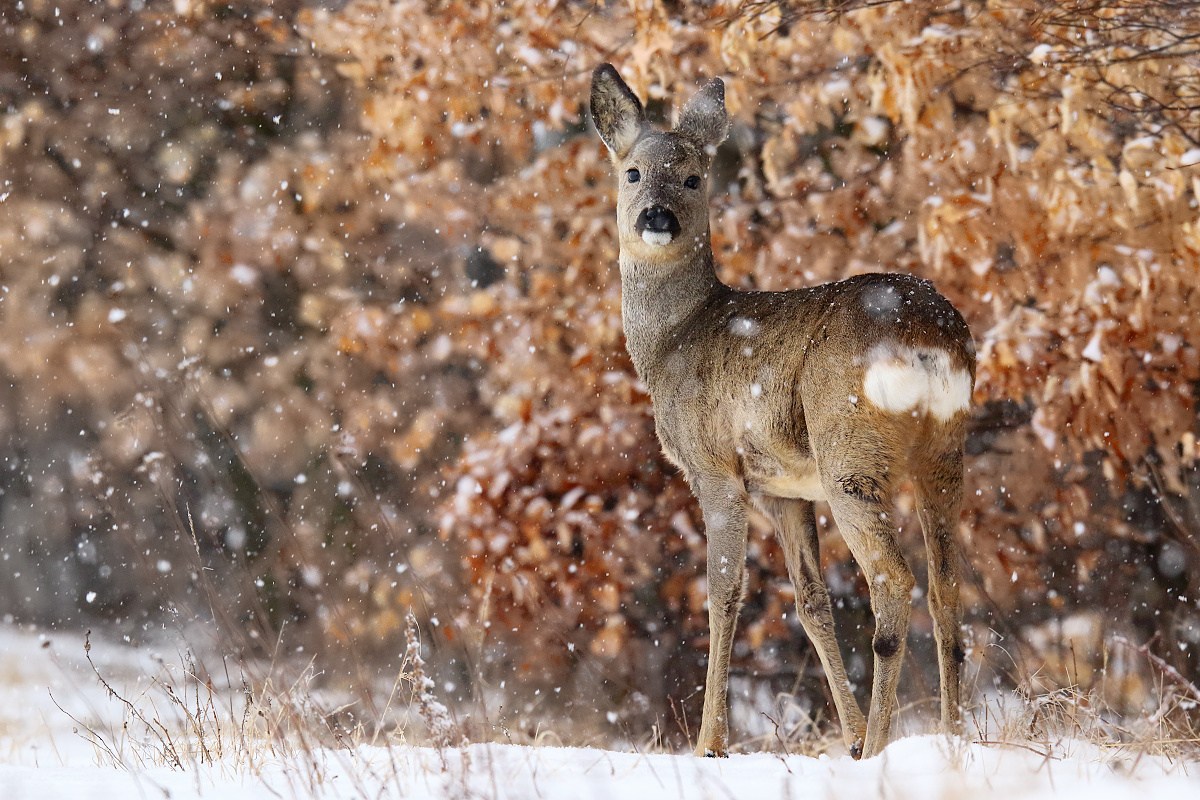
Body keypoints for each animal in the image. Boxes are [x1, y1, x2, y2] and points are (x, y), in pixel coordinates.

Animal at [590, 65, 974, 762]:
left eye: (693, 177)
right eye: (632, 172)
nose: (657, 216)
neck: (674, 339)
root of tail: (929, 338)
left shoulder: (715, 468)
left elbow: (723, 593)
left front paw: (709, 744)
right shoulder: (785, 490)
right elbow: (812, 602)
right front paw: (848, 737)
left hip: (850, 450)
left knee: (892, 580)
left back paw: (885, 744)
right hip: (943, 450)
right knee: (946, 585)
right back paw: (950, 738)